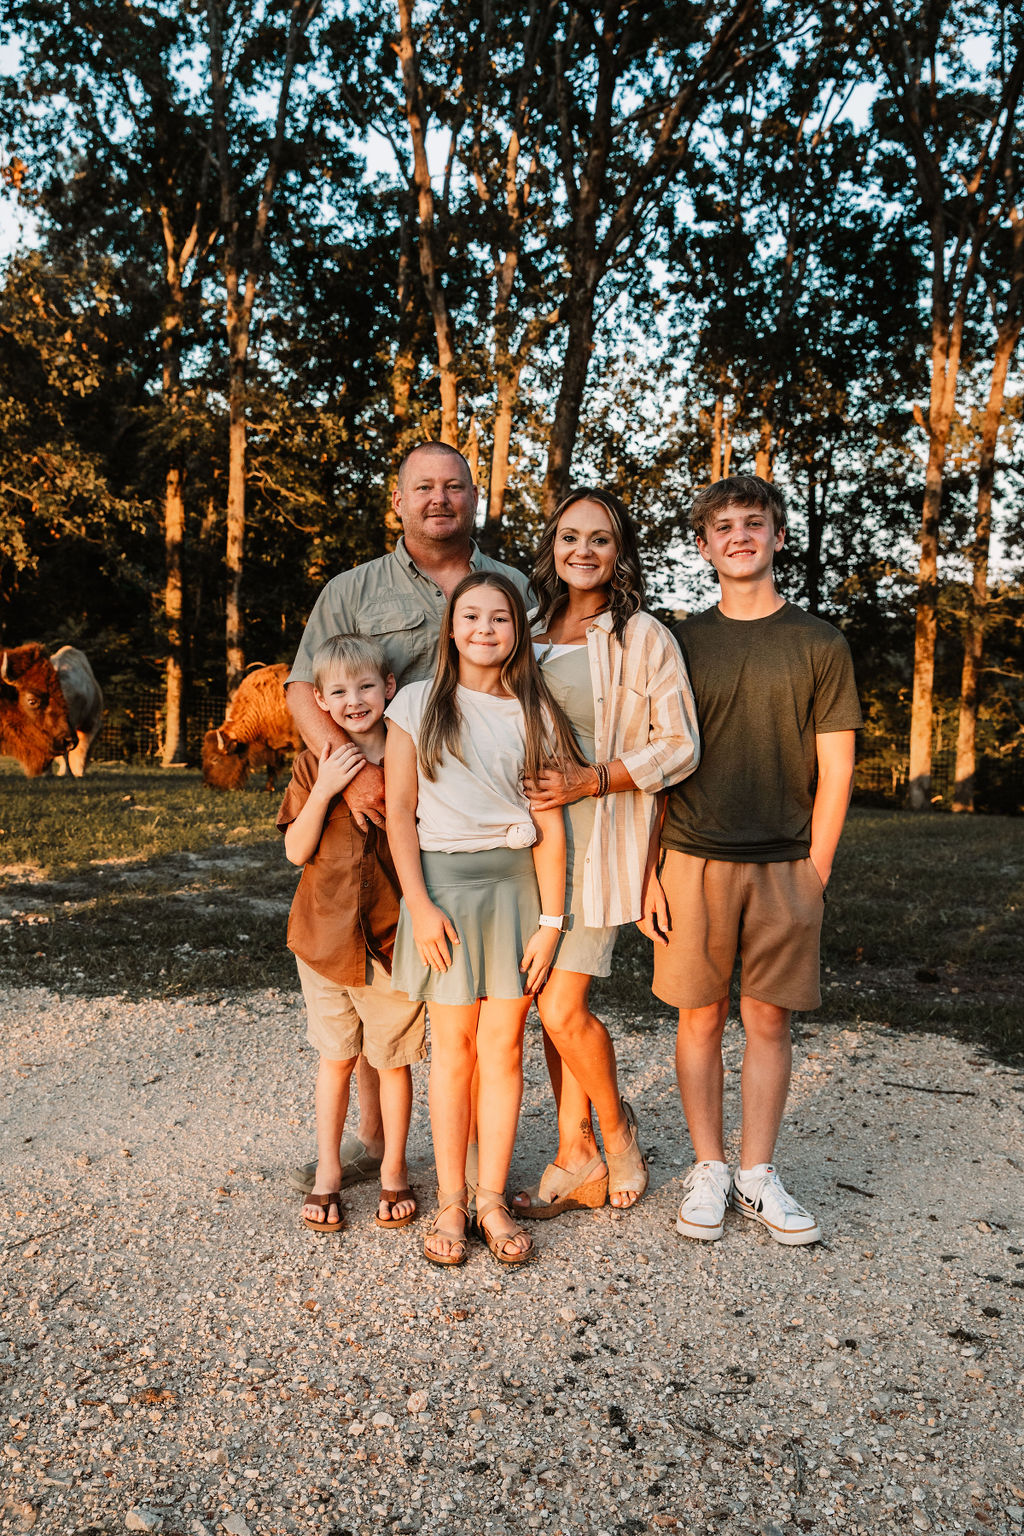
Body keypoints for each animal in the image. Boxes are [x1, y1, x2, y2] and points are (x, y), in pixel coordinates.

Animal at [201, 663, 303, 792]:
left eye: (215, 758)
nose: (207, 785)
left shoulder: (299, 742)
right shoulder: (271, 745)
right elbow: (271, 766)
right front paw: (268, 789)